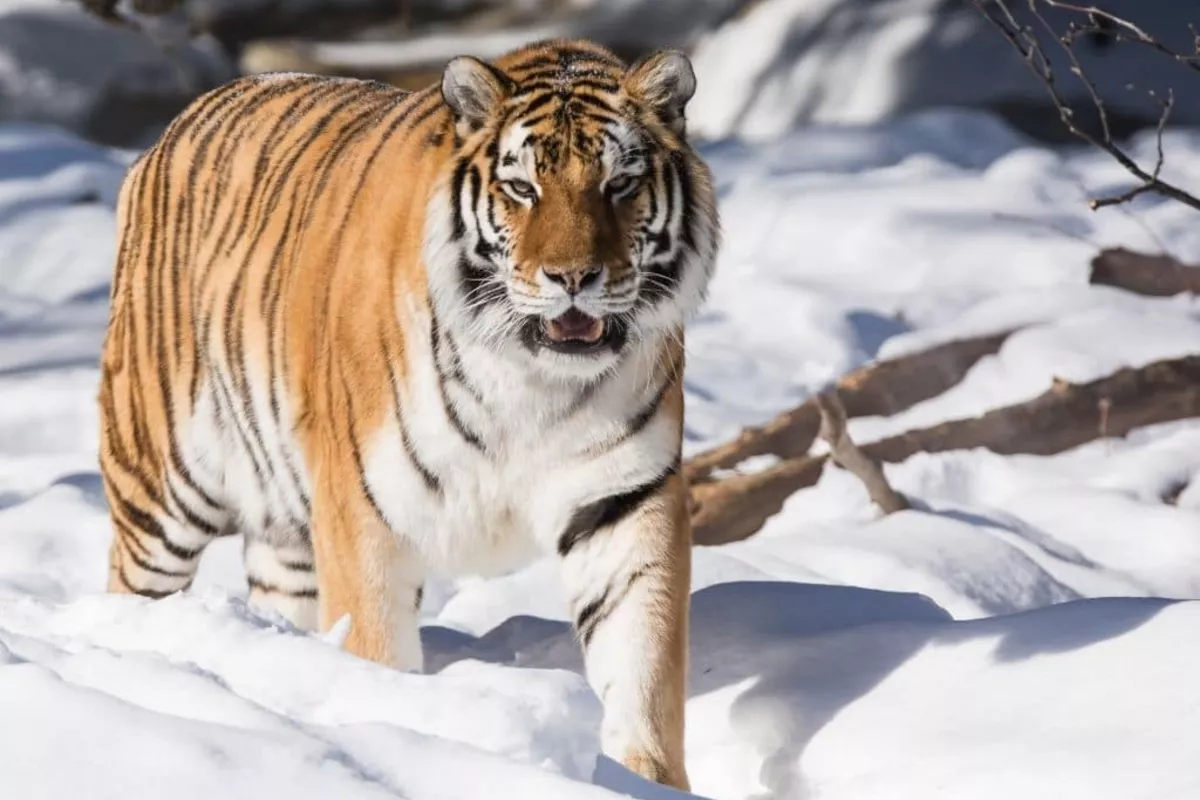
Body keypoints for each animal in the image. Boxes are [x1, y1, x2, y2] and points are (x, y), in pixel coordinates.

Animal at [97, 38, 719, 789]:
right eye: (522, 189)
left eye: (620, 185)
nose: (574, 278)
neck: (532, 382)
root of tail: (176, 125)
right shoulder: (364, 513)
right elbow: (376, 647)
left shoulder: (624, 499)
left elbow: (642, 667)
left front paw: (644, 780)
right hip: (160, 492)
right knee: (131, 583)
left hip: (286, 532)